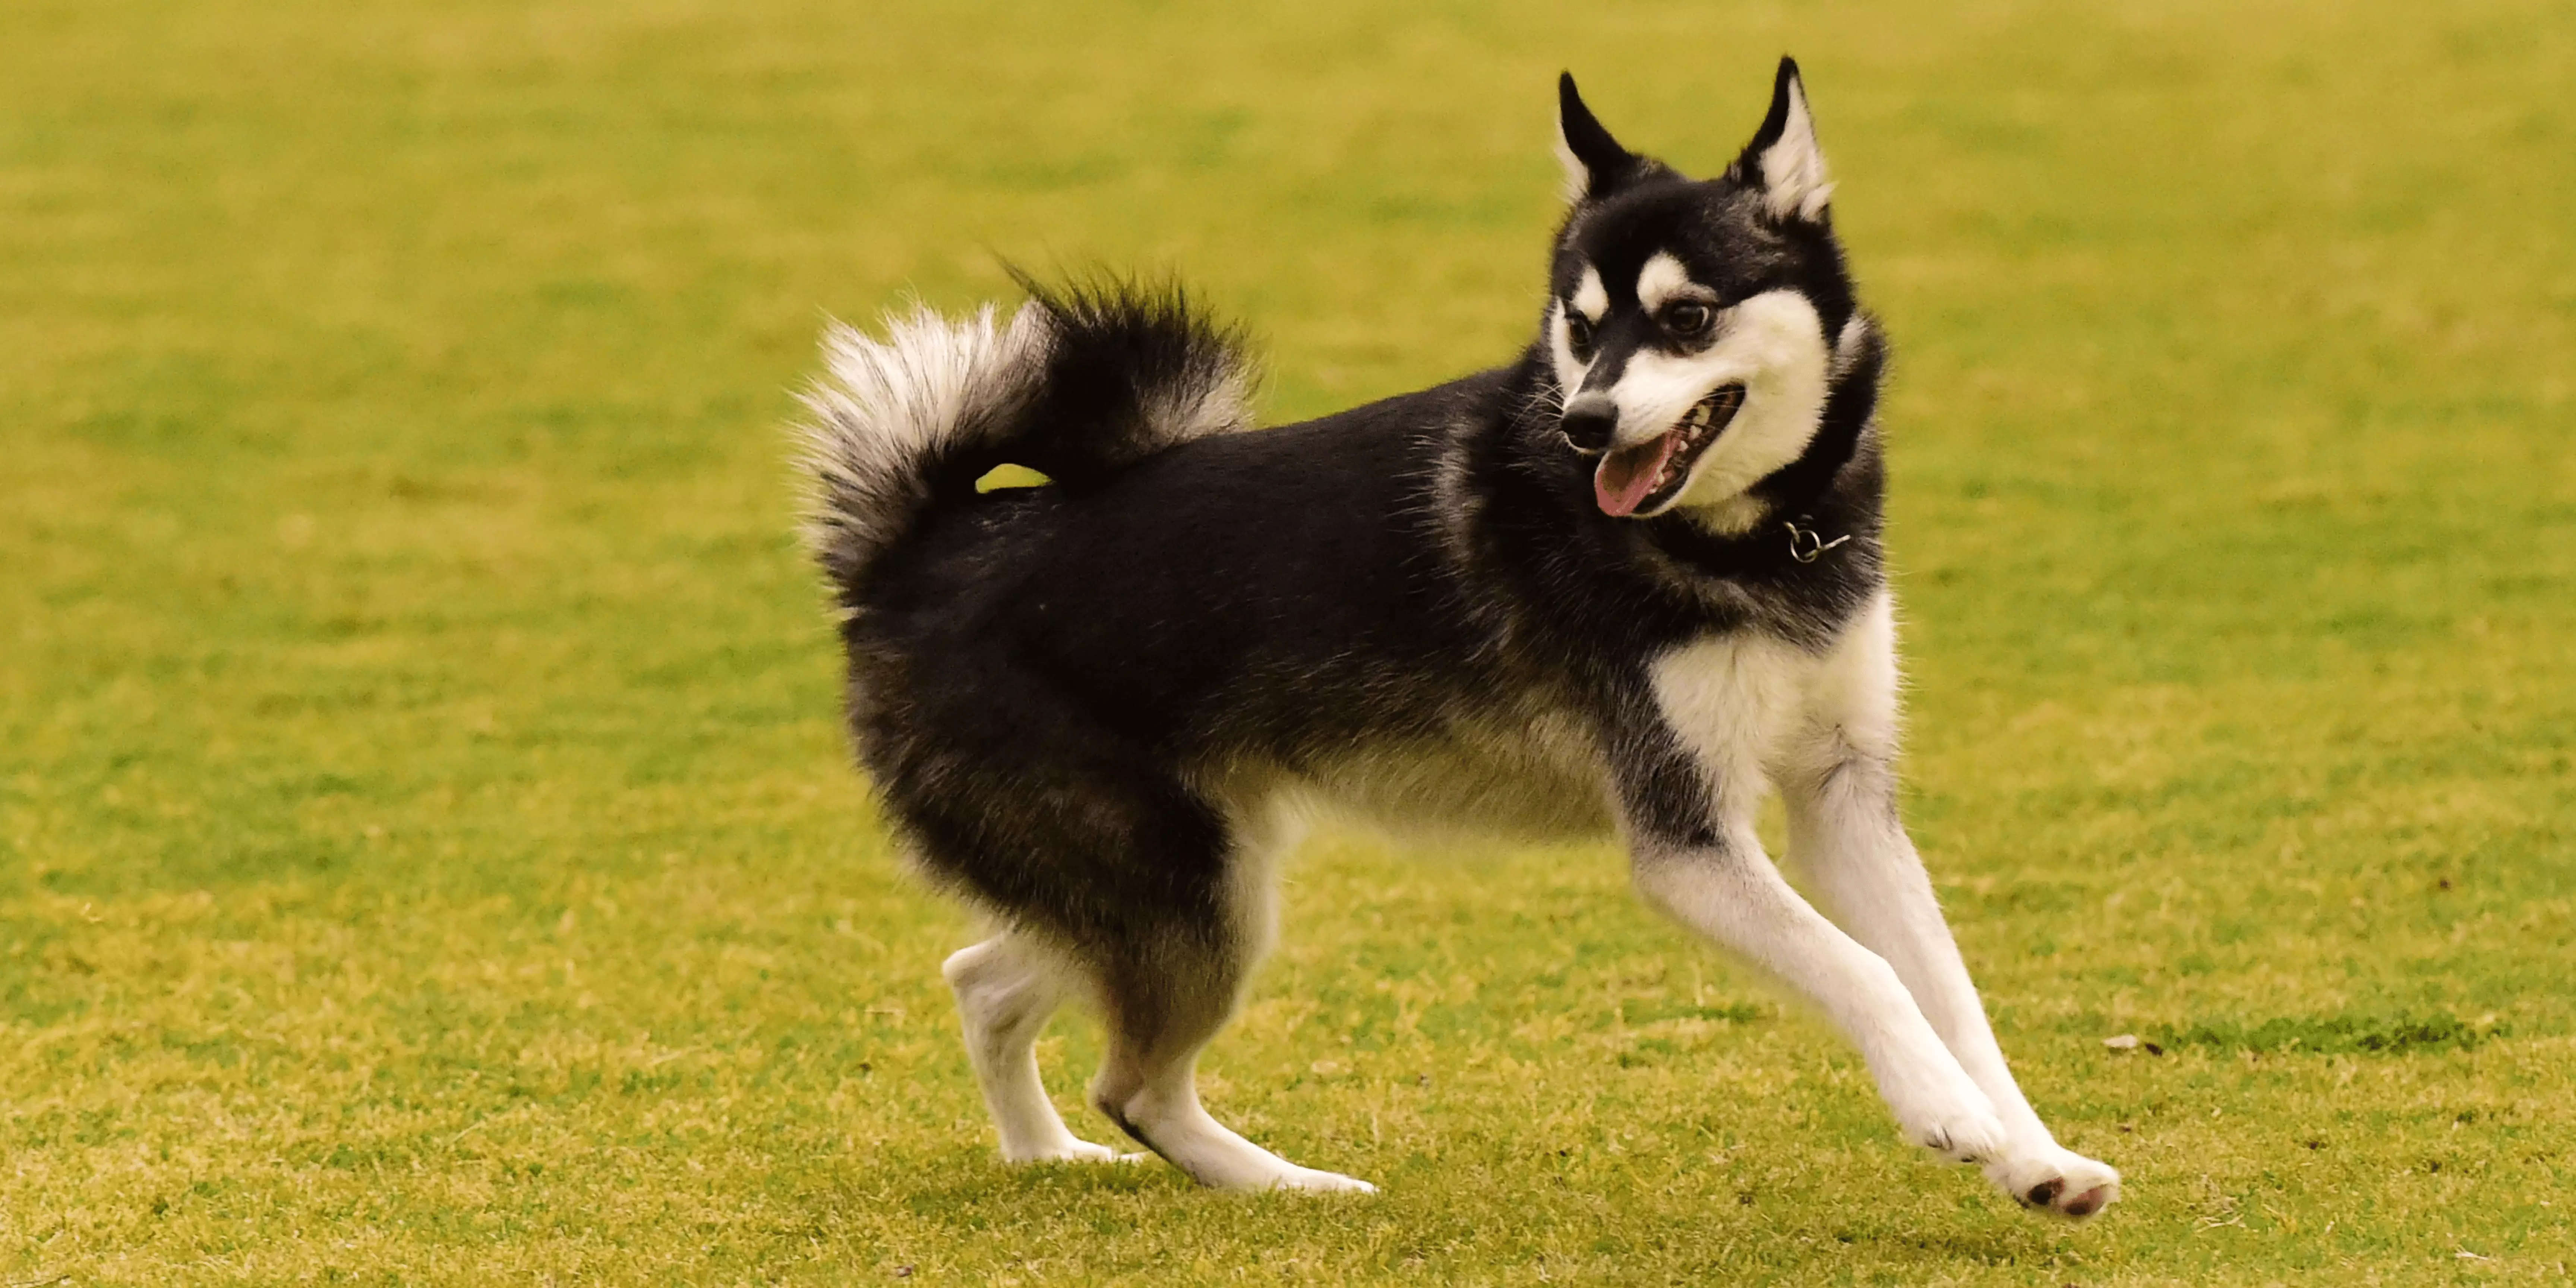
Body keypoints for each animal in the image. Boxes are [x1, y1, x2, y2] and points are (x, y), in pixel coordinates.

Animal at [793, 53, 2122, 1216]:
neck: (1754, 543)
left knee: (984, 982)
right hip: (1190, 894)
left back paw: (1046, 1158)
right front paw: (1948, 1119)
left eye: (1688, 319)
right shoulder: (1688, 840)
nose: (1588, 425)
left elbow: (1952, 993)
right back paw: (1292, 1189)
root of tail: (923, 548)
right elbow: (1869, 972)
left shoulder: (1845, 800)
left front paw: (2034, 1159)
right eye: (1581, 327)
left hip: (1168, 883)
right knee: (1130, 1079)